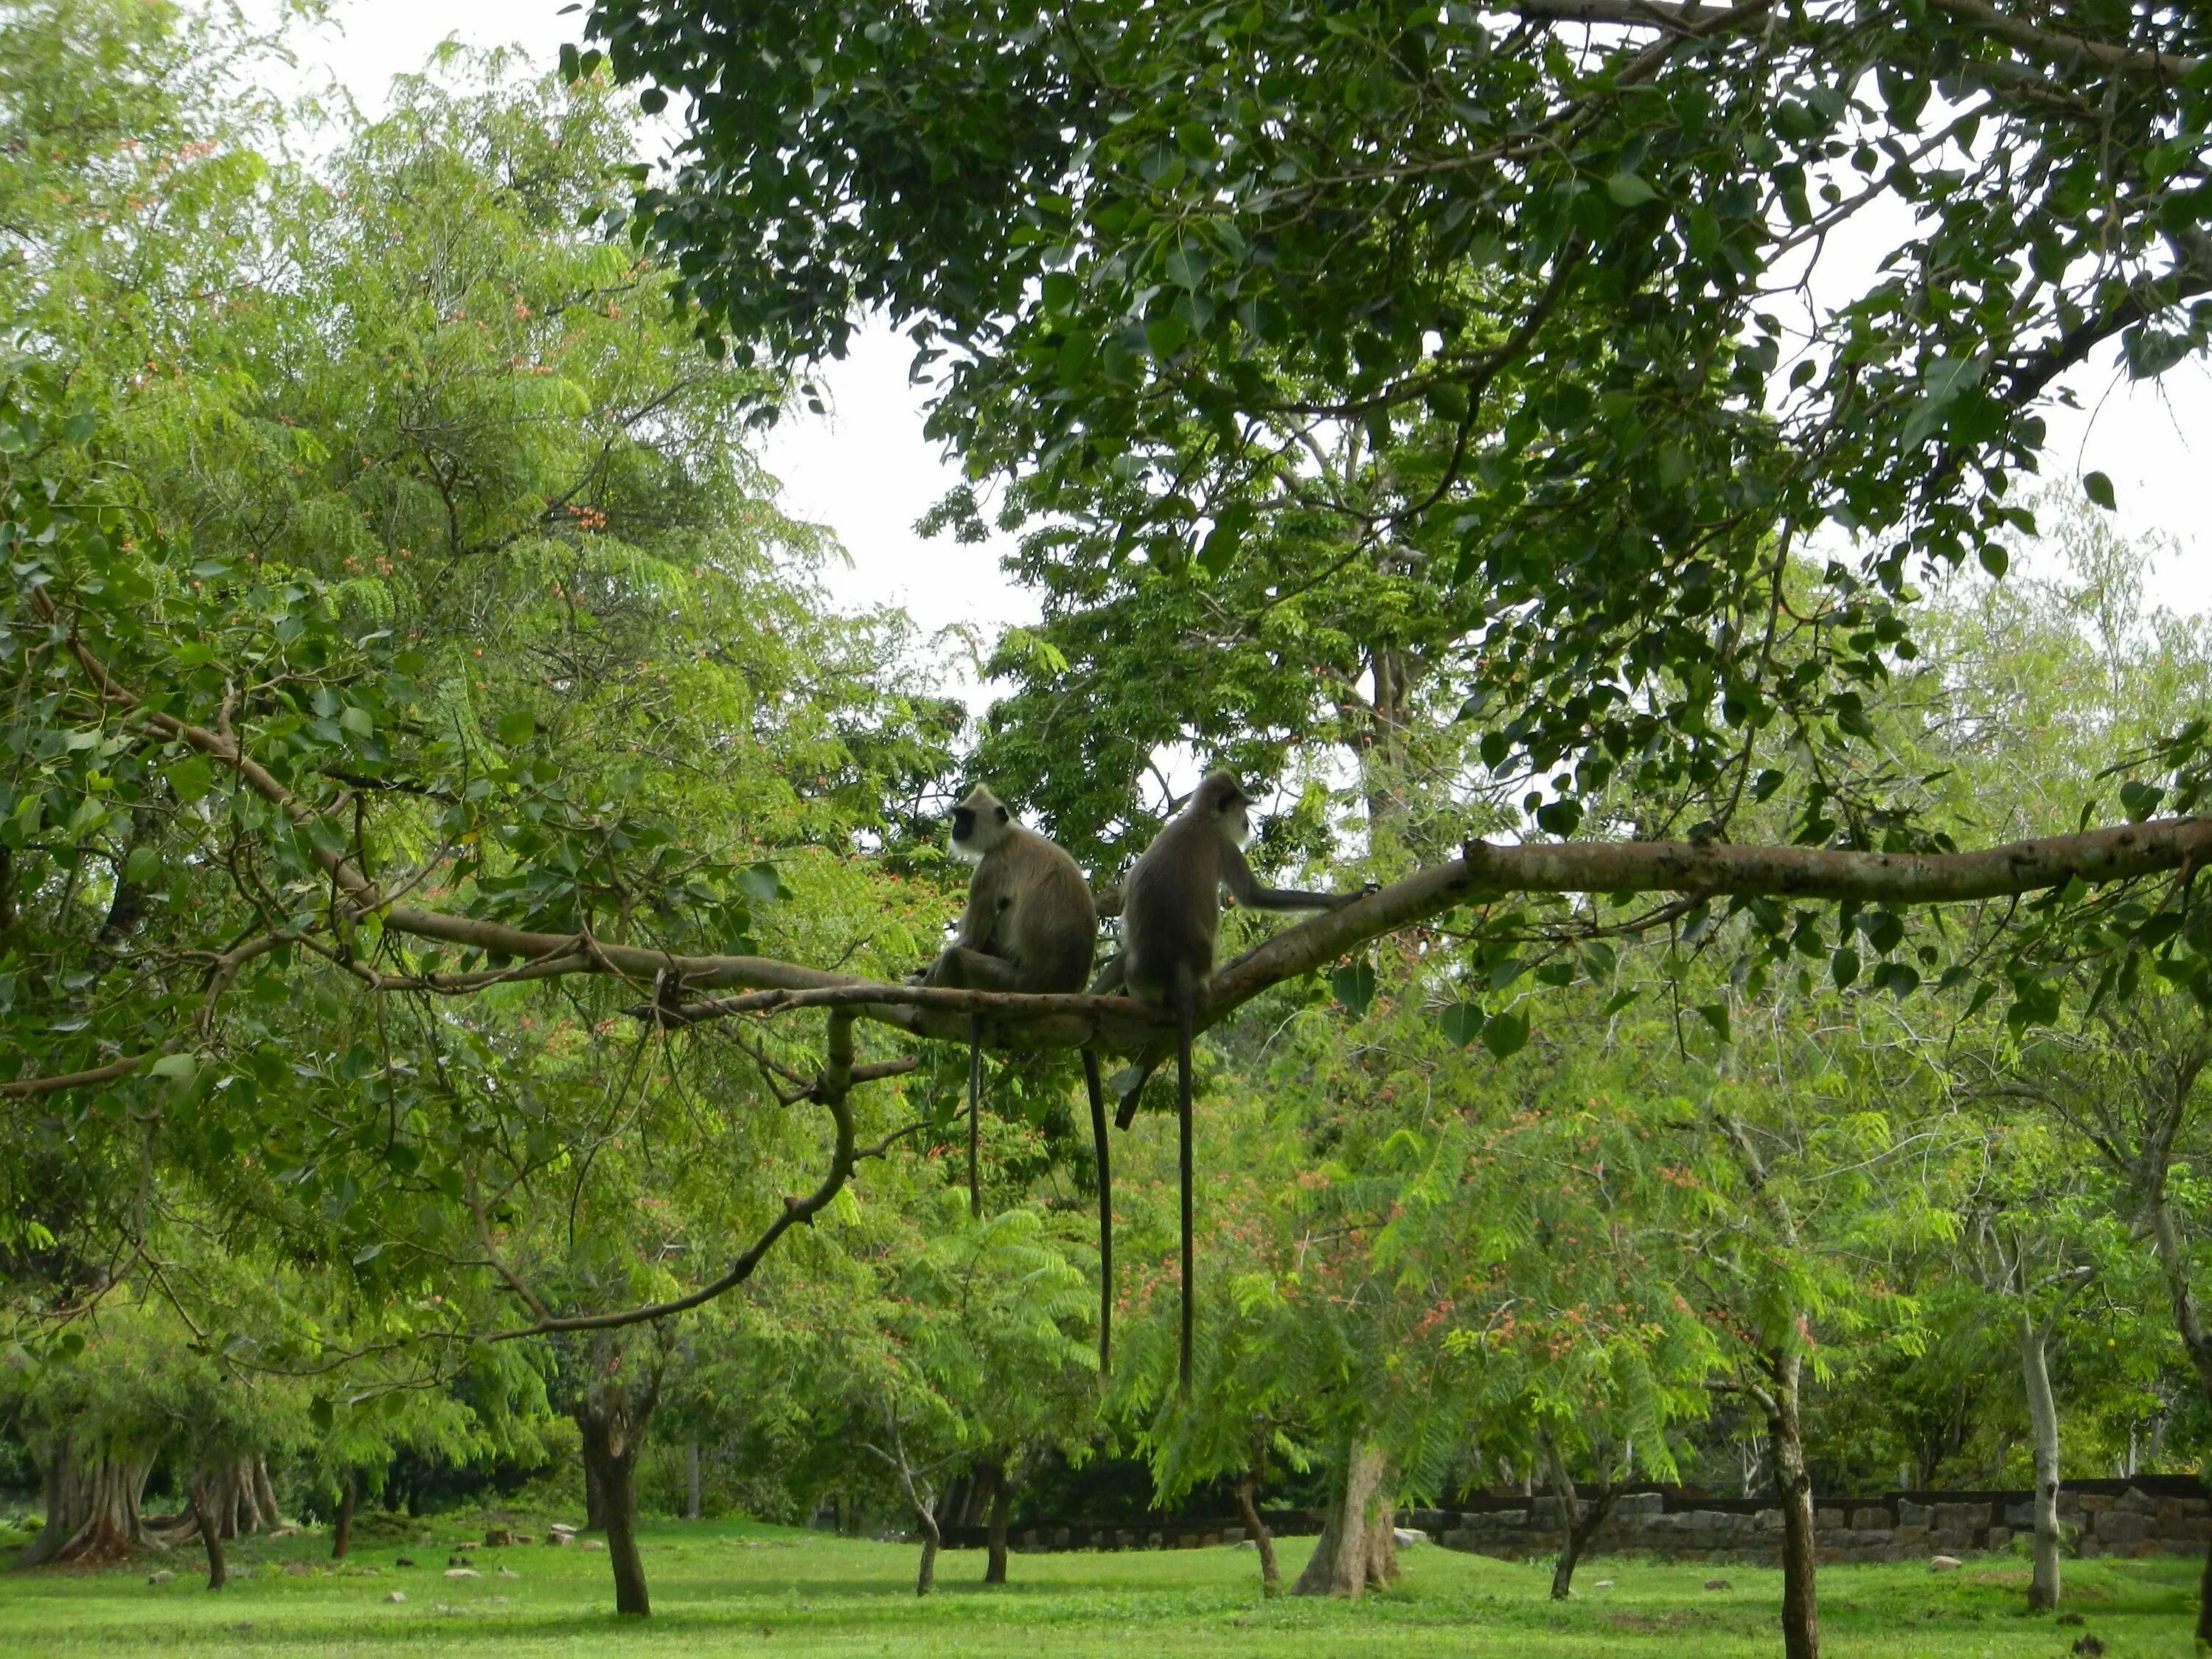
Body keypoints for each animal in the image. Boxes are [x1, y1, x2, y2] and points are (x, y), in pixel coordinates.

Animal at [920, 792, 1124, 1380]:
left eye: (965, 817)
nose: (954, 828)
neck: (1010, 837)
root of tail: (1063, 990)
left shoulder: (988, 872)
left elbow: (967, 938)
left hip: (1013, 982)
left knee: (964, 954)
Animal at [1124, 774, 1363, 1398]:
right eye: (1244, 812)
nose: (1251, 825)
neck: (1196, 821)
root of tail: (1181, 973)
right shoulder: (1222, 849)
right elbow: (1252, 896)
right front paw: (1343, 901)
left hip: (1141, 977)